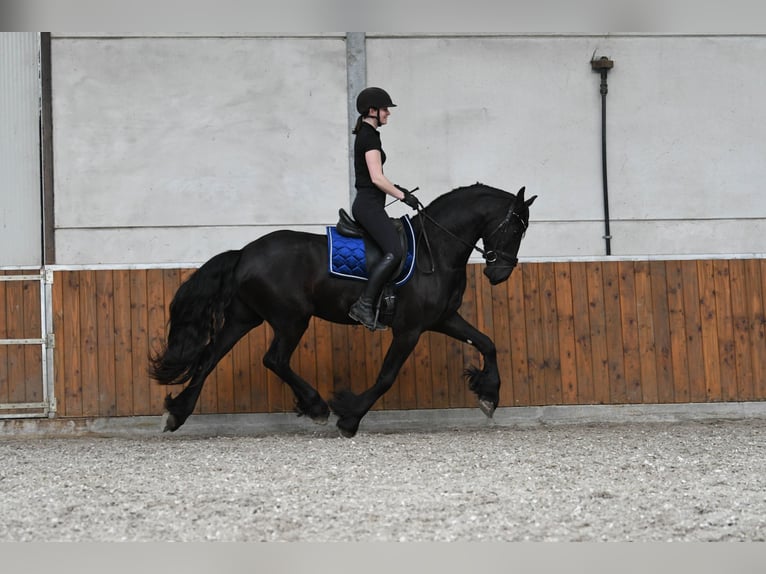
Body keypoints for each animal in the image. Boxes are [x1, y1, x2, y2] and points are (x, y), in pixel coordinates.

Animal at [149, 183, 536, 437]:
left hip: (245, 317)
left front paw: (489, 395)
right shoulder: (409, 329)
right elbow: (386, 376)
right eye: (514, 227)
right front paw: (349, 417)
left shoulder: (442, 319)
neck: (435, 250)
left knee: (211, 357)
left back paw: (177, 413)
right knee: (274, 359)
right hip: (291, 319)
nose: (499, 274)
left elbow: (487, 343)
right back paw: (317, 406)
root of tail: (244, 252)